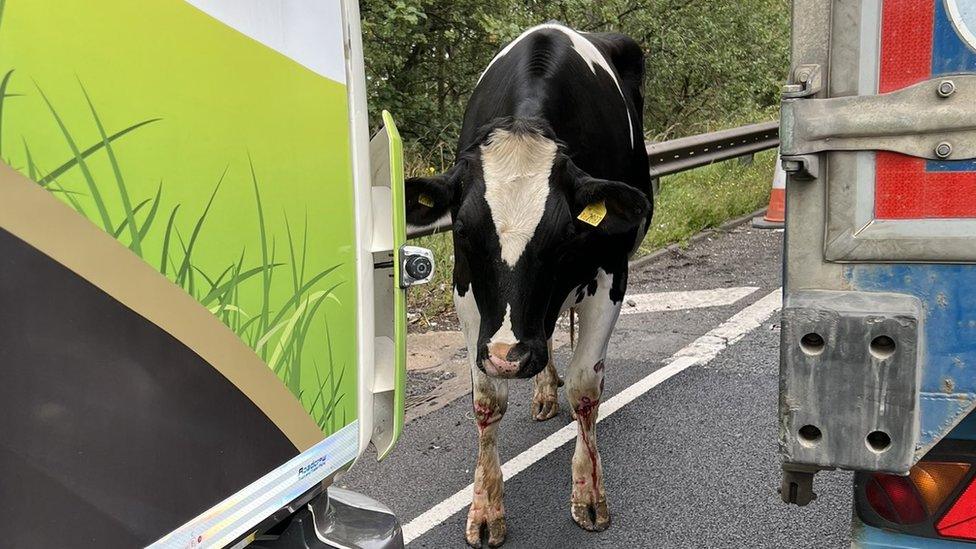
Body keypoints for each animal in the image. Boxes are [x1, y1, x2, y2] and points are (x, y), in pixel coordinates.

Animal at [402, 22, 648, 548]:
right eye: (463, 230)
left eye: (564, 235)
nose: (508, 358)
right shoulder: (469, 293)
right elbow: (486, 400)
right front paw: (485, 509)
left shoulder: (611, 273)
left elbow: (586, 387)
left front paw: (589, 495)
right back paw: (542, 392)